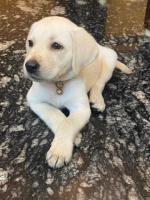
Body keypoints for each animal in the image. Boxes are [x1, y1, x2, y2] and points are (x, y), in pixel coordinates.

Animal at [23, 16, 131, 168]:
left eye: (56, 45)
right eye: (30, 43)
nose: (29, 66)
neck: (58, 83)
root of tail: (99, 46)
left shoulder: (81, 108)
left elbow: (69, 123)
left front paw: (59, 151)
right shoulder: (34, 100)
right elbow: (56, 116)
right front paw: (73, 137)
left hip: (110, 59)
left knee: (99, 83)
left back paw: (97, 99)